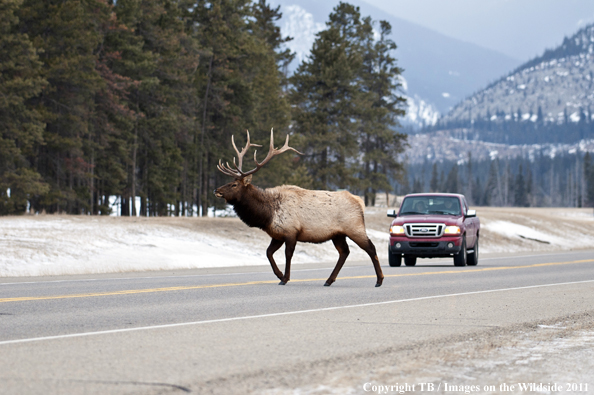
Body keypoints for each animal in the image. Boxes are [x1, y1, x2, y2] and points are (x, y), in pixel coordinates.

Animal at [213, 130, 384, 288]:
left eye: (234, 184)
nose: (216, 190)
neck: (267, 215)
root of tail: (359, 202)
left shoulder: (291, 232)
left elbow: (288, 255)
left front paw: (285, 278)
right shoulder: (277, 234)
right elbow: (268, 253)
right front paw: (279, 274)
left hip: (354, 227)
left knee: (371, 248)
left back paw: (379, 280)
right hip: (338, 234)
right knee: (344, 252)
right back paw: (329, 280)